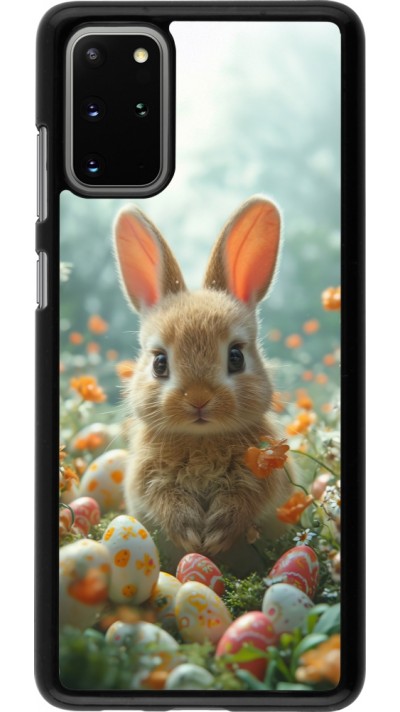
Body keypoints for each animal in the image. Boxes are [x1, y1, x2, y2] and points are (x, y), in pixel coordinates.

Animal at [114, 195, 293, 562]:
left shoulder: (262, 476)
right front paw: (191, 535)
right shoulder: (148, 478)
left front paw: (216, 535)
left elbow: (244, 500)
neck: (201, 439)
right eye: (159, 363)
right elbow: (165, 500)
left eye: (236, 357)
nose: (198, 399)